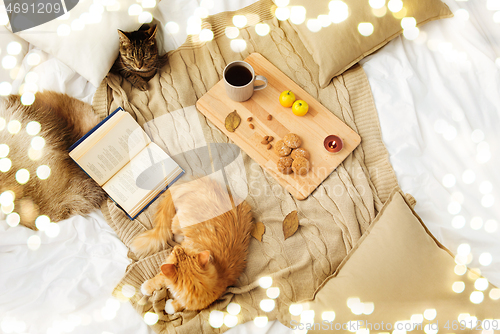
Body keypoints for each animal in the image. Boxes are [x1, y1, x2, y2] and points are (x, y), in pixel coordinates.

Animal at [132, 179, 254, 312]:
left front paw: (170, 306)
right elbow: (157, 279)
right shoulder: (165, 273)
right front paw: (146, 287)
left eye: (180, 251)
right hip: (177, 223)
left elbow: (177, 306)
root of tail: (202, 184)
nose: (177, 248)